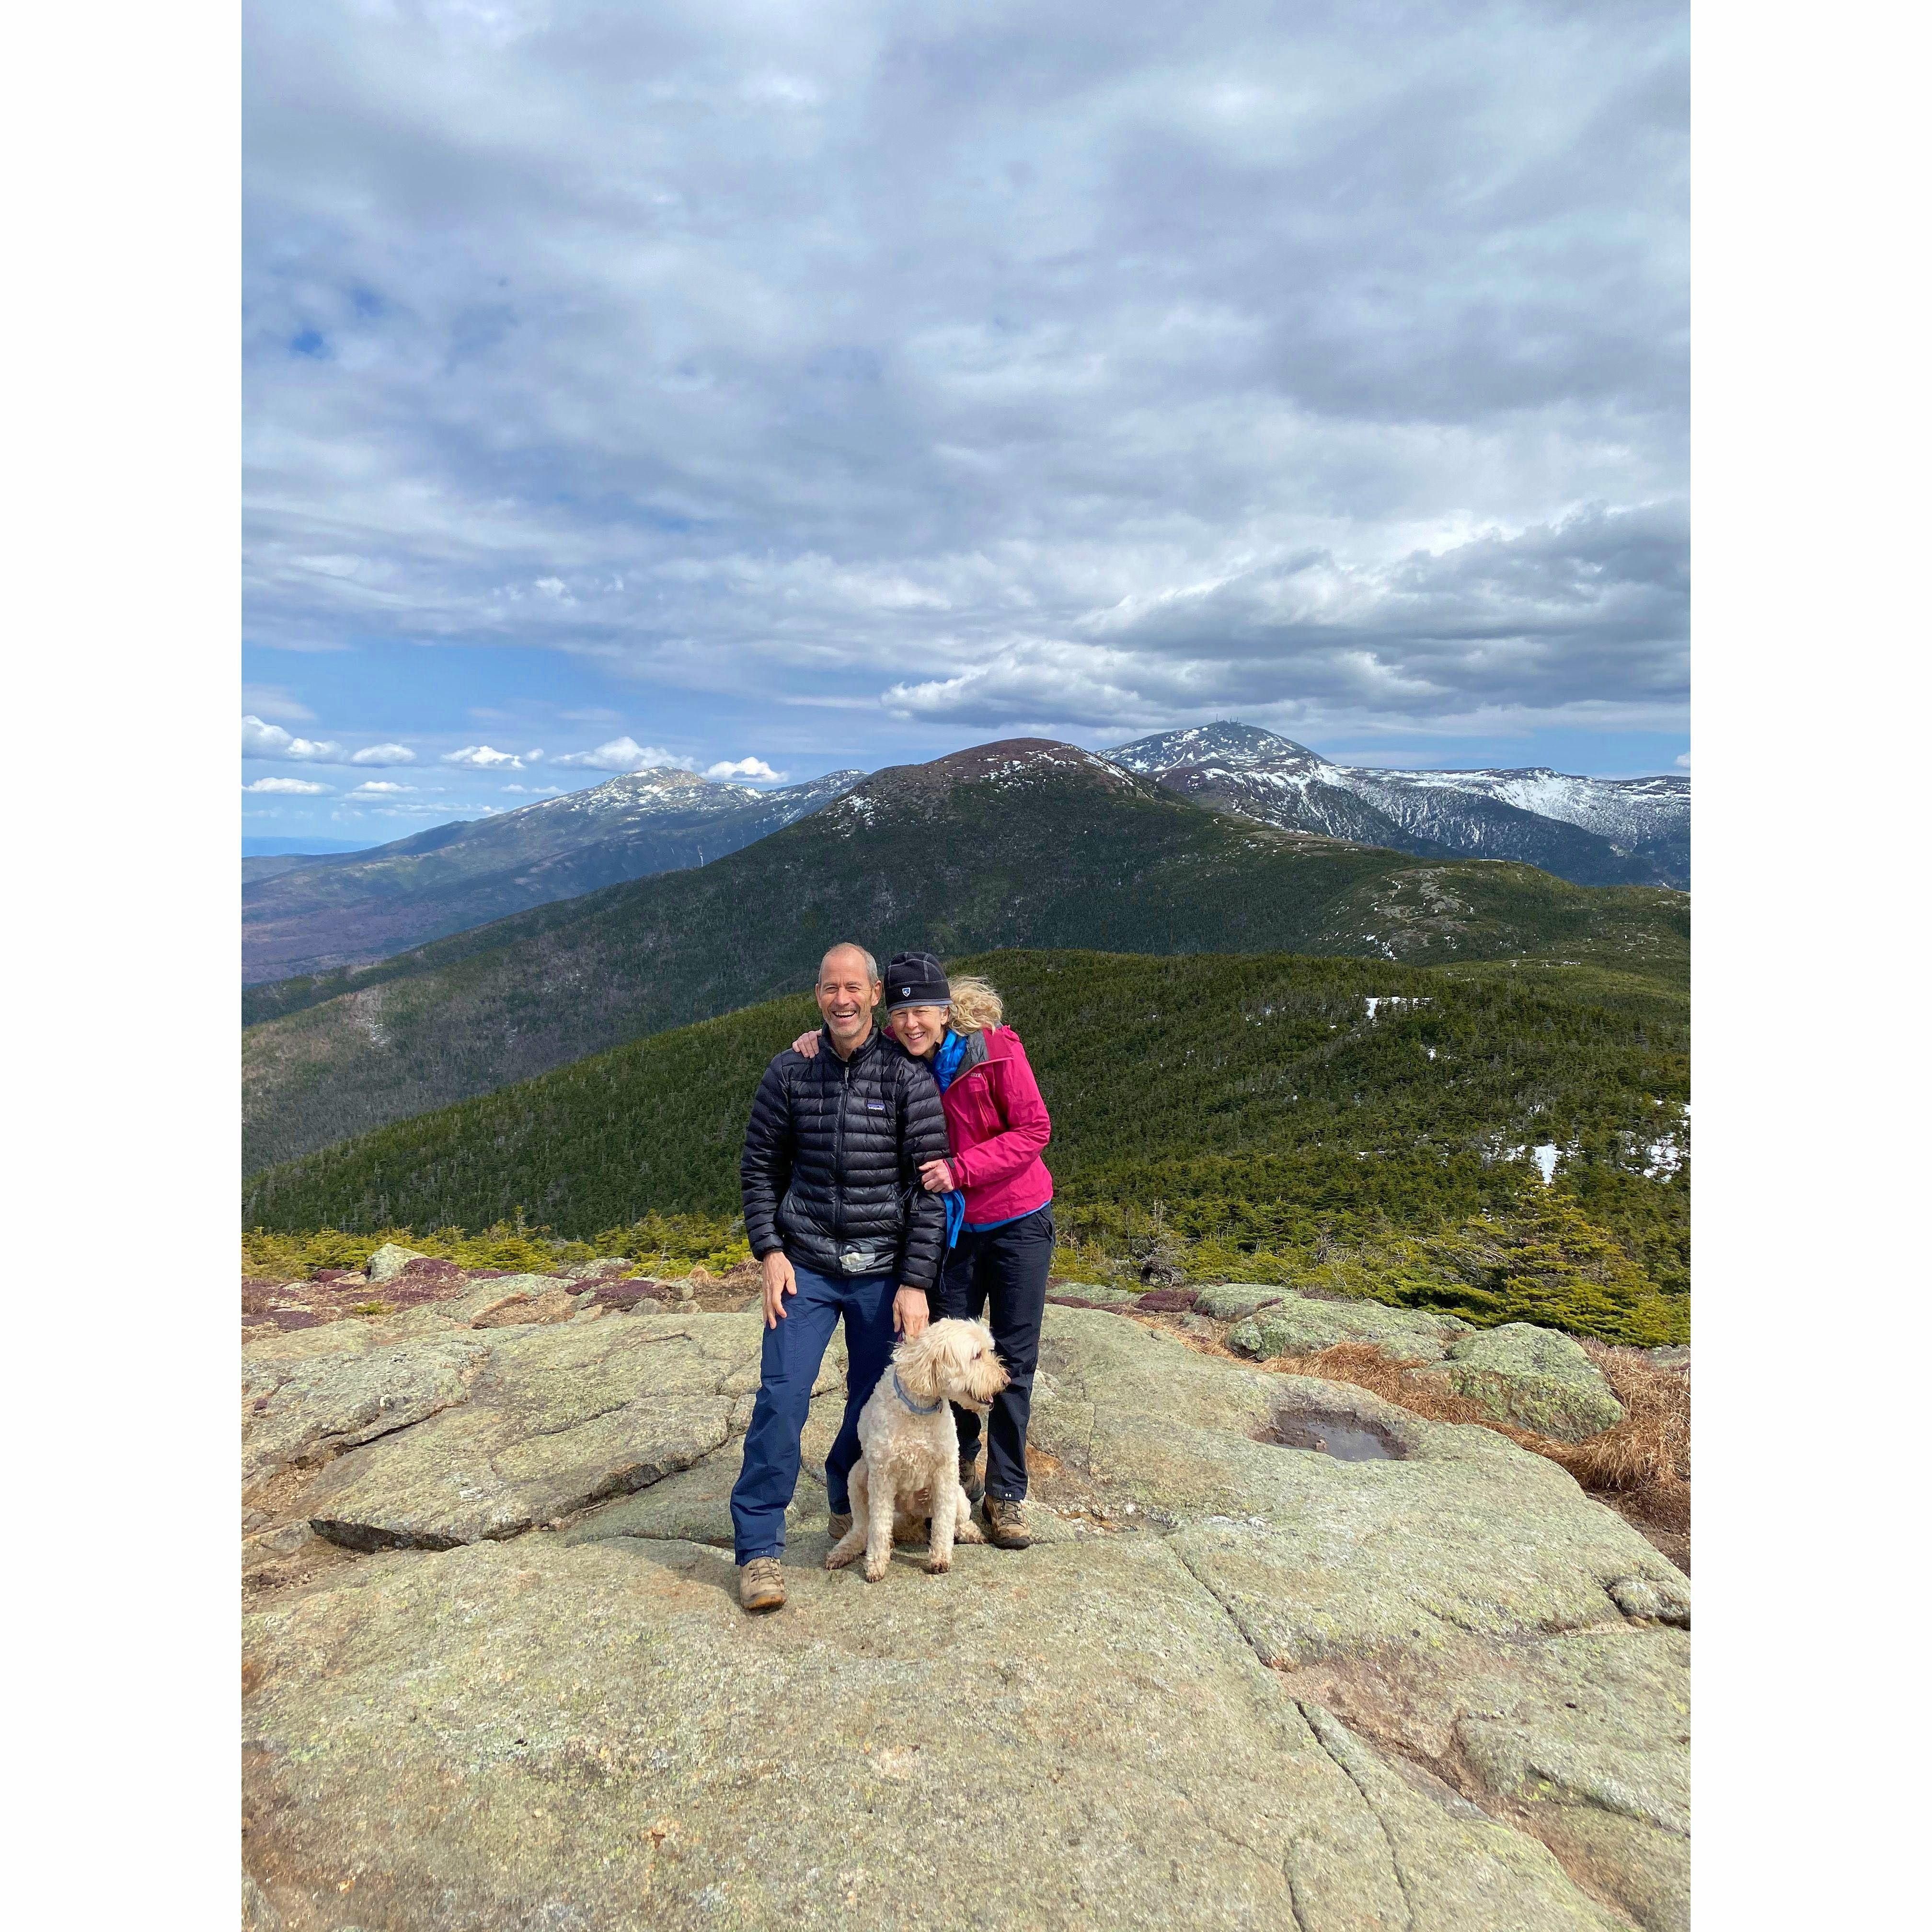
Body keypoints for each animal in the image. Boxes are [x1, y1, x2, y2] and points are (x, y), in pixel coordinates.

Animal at [827, 1321, 1012, 1576]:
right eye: (976, 1355)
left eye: (988, 1350)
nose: (1006, 1380)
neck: (920, 1408)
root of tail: (913, 1520)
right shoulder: (882, 1476)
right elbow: (878, 1525)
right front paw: (876, 1563)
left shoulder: (945, 1472)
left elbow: (943, 1522)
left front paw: (940, 1558)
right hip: (857, 1477)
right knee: (863, 1528)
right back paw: (846, 1550)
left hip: (959, 1495)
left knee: (958, 1520)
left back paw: (970, 1532)